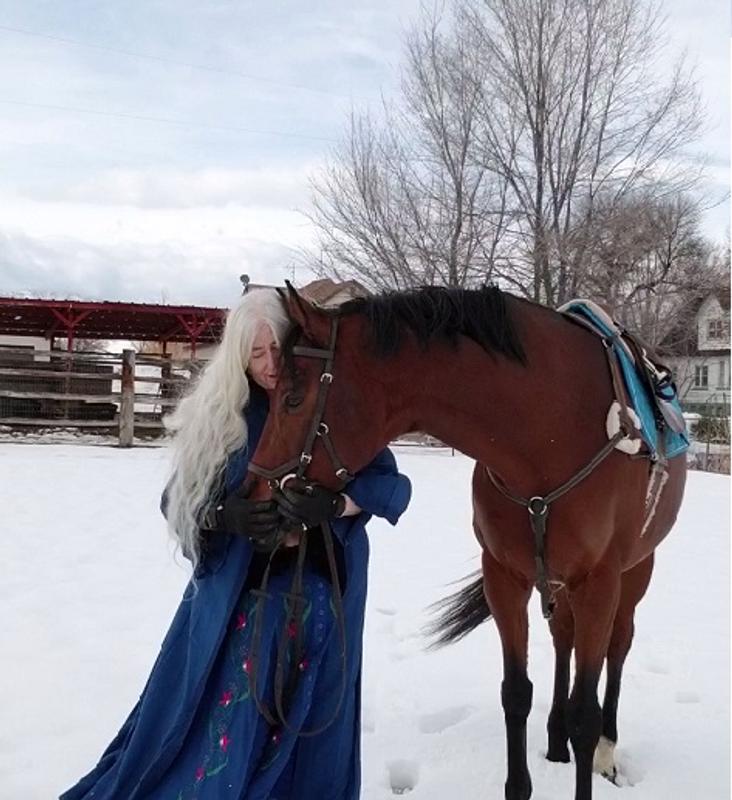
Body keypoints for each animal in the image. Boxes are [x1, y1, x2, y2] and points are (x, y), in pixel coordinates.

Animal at [247, 283, 687, 800]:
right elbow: (516, 695)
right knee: (563, 638)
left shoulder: (598, 585)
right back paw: (555, 736)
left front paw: (588, 740)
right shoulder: (506, 578)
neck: (550, 434)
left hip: (634, 571)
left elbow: (586, 713)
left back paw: (606, 749)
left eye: (294, 399)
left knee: (619, 646)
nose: (251, 495)